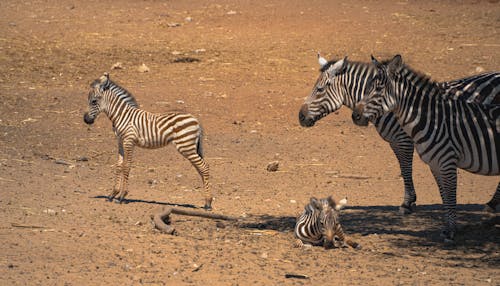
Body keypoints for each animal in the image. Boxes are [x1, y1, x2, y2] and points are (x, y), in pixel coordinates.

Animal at [82, 71, 215, 210]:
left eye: (94, 101)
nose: (86, 120)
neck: (121, 115)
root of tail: (196, 120)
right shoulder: (120, 141)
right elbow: (119, 166)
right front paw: (112, 194)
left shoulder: (129, 141)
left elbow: (126, 166)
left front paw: (122, 196)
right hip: (190, 147)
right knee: (200, 168)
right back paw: (206, 201)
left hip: (186, 146)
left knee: (204, 167)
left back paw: (208, 203)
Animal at [300, 53, 500, 214]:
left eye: (320, 89)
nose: (300, 117)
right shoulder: (395, 141)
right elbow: (403, 168)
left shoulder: (403, 139)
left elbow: (405, 168)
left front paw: (407, 203)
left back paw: (492, 204)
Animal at [352, 55, 500, 241]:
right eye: (366, 88)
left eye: (378, 89)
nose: (355, 116)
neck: (431, 119)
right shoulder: (435, 165)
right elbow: (444, 197)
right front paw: (447, 228)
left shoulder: (447, 162)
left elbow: (450, 196)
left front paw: (451, 232)